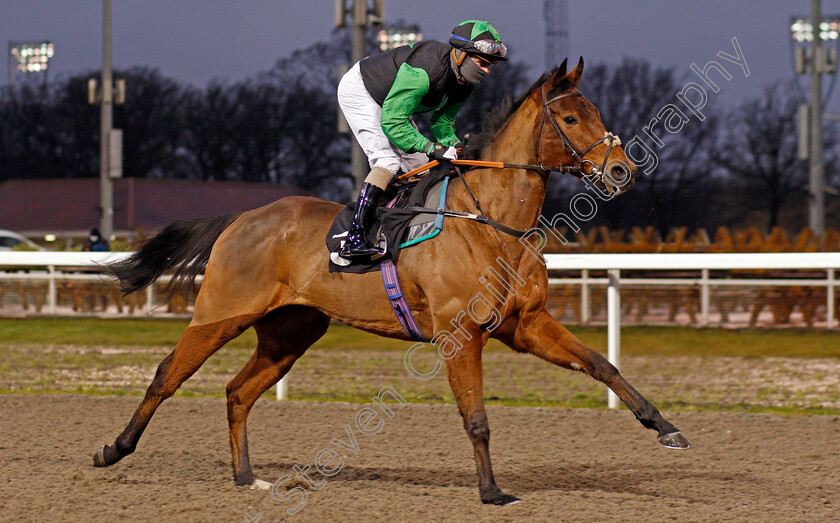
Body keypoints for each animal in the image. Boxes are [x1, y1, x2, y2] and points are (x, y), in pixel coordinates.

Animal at [95, 59, 692, 506]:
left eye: (595, 112)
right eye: (569, 117)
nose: (622, 171)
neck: (492, 221)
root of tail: (242, 218)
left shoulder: (526, 324)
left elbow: (602, 364)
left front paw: (664, 427)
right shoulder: (461, 335)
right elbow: (476, 418)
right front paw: (492, 491)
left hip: (290, 331)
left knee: (238, 391)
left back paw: (247, 477)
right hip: (221, 313)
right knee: (166, 376)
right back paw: (113, 449)